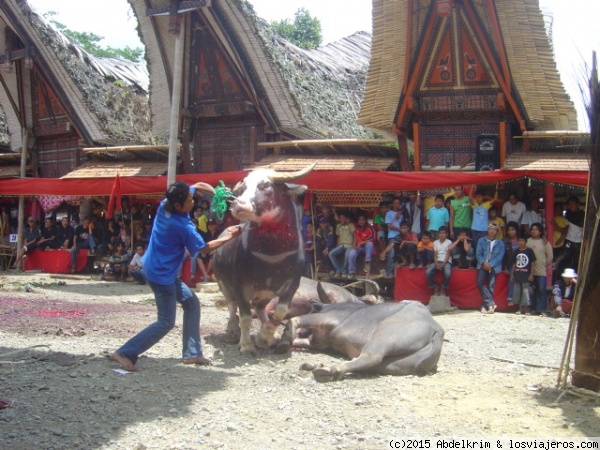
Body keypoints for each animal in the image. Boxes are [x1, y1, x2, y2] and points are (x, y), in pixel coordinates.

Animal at [212, 163, 314, 356]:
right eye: (243, 188)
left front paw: (264, 338)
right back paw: (232, 330)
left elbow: (281, 311)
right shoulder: (240, 285)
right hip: (223, 282)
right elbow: (245, 316)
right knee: (232, 305)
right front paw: (246, 345)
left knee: (260, 308)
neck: (272, 256)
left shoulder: (293, 283)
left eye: (265, 185)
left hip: (266, 292)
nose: (238, 204)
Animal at [274, 298, 442, 380]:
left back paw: (328, 370)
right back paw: (315, 367)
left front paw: (284, 342)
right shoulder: (317, 342)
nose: (302, 333)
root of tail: (437, 329)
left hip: (382, 336)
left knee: (370, 357)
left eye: (311, 310)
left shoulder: (326, 318)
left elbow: (295, 319)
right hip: (394, 364)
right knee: (367, 364)